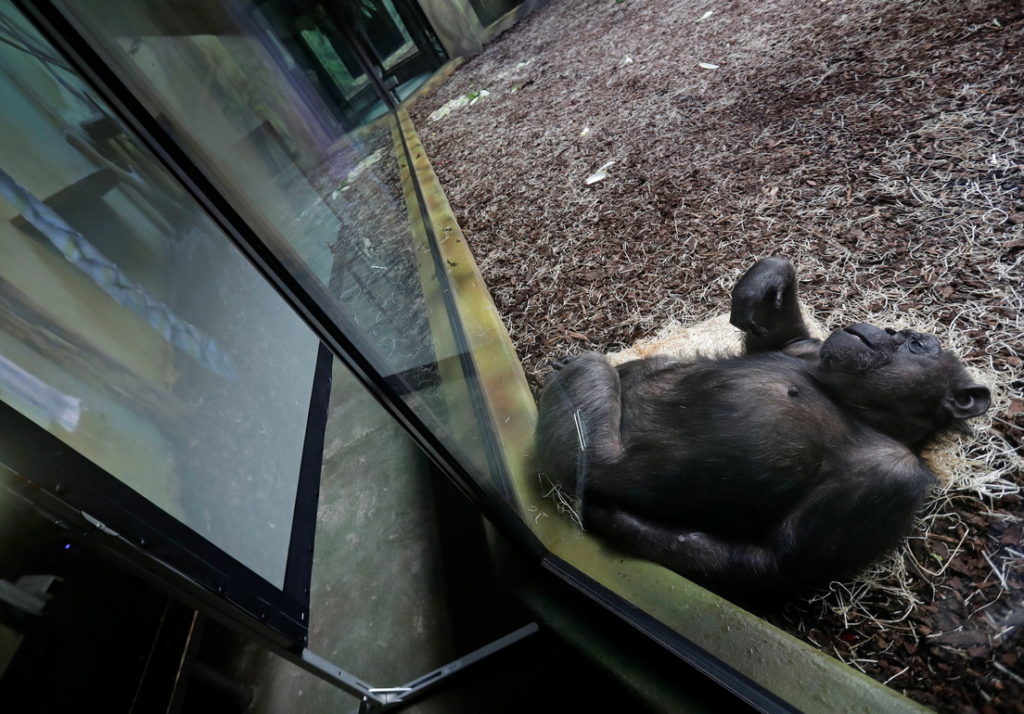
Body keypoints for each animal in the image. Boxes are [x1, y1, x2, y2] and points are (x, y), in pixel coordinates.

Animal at [536, 253, 991, 598]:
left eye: (915, 344)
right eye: (900, 332)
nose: (886, 330)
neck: (858, 407)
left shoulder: (891, 479)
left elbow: (776, 565)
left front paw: (608, 517)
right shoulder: (806, 349)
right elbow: (775, 332)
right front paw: (764, 283)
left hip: (574, 436)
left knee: (590, 372)